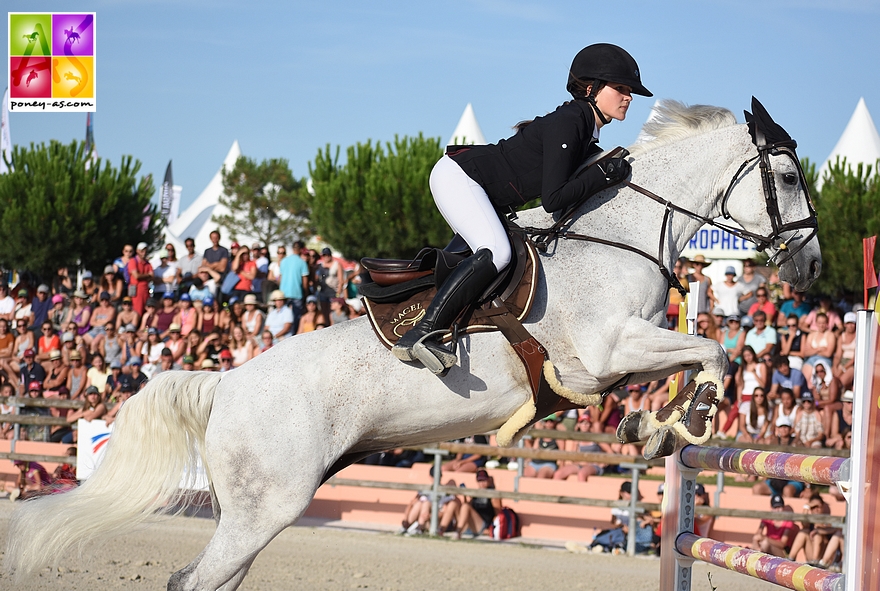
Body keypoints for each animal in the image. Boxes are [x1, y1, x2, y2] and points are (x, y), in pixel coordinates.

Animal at [5, 99, 820, 588]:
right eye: (784, 173)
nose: (812, 265)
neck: (619, 232)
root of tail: (227, 382)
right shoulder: (607, 352)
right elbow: (713, 352)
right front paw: (685, 420)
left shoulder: (624, 356)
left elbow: (703, 354)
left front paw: (657, 425)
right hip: (264, 506)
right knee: (196, 580)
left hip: (255, 512)